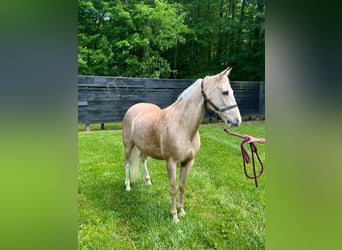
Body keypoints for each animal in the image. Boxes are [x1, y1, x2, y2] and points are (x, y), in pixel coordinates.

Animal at [121, 67, 242, 223]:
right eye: (225, 92)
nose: (237, 120)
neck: (183, 126)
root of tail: (133, 108)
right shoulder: (171, 162)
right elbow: (173, 189)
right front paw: (174, 216)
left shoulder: (188, 162)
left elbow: (182, 186)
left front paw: (182, 211)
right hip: (128, 145)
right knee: (127, 164)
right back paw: (128, 186)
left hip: (144, 148)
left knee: (142, 160)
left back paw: (148, 182)